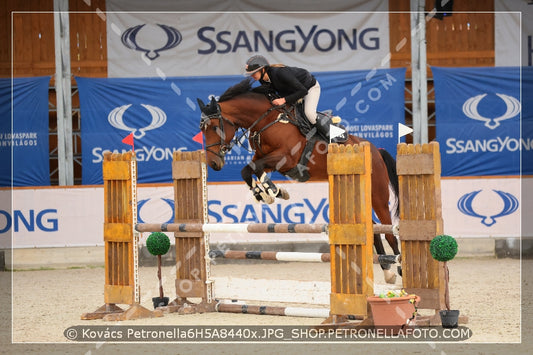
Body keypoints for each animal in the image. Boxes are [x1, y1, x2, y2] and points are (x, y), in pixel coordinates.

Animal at [197, 78, 402, 284]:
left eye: (214, 126)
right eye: (202, 130)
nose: (213, 163)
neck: (266, 121)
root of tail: (376, 150)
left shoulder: (285, 158)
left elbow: (255, 168)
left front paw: (271, 192)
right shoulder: (267, 160)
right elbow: (248, 170)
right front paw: (266, 193)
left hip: (377, 194)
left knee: (389, 232)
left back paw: (400, 268)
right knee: (373, 228)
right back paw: (387, 272)